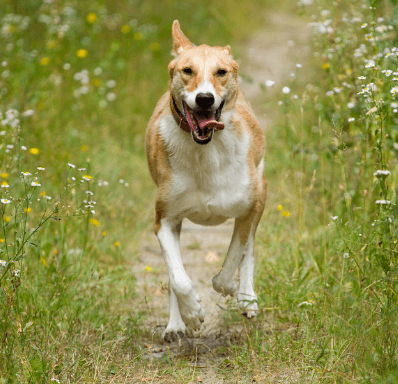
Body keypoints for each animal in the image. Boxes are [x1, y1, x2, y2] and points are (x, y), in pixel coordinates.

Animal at [146, 20, 268, 342]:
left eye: (221, 72)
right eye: (187, 70)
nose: (204, 98)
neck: (206, 152)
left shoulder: (250, 207)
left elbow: (237, 254)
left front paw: (230, 288)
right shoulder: (164, 220)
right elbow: (178, 278)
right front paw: (191, 314)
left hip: (262, 191)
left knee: (250, 249)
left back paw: (247, 298)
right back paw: (176, 325)